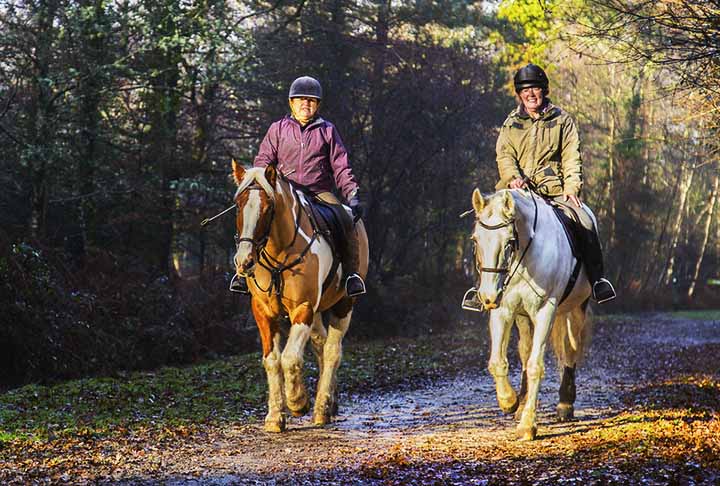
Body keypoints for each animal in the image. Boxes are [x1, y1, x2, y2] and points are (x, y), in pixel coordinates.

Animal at [231, 161, 368, 430]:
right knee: (320, 344)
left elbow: (290, 358)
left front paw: (297, 402)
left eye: (268, 207)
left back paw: (321, 408)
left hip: (344, 304)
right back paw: (330, 403)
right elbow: (272, 360)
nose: (244, 261)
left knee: (332, 351)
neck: (279, 252)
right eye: (239, 205)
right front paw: (275, 416)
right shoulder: (262, 311)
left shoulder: (303, 307)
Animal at [470, 188, 592, 442]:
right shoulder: (503, 310)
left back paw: (565, 404)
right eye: (475, 240)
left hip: (576, 309)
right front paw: (509, 401)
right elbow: (498, 361)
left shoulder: (546, 311)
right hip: (523, 317)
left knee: (571, 348)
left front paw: (527, 426)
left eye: (509, 242)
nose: (487, 296)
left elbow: (536, 366)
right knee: (525, 350)